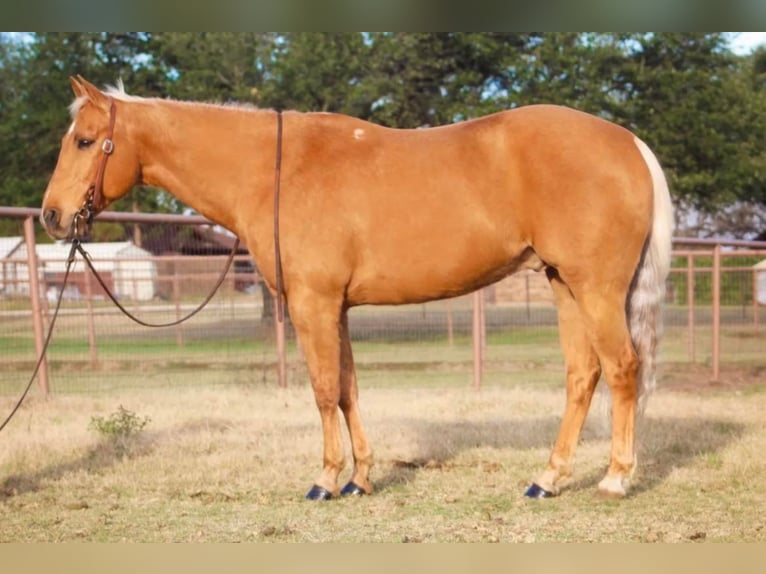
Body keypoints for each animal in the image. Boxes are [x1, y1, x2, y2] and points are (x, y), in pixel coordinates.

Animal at [40, 75, 672, 500]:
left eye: (84, 140)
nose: (51, 215)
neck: (274, 171)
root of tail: (629, 143)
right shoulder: (335, 307)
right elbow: (347, 388)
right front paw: (361, 479)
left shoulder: (313, 304)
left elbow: (323, 390)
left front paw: (325, 480)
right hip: (565, 285)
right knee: (582, 376)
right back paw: (548, 479)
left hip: (597, 289)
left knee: (622, 369)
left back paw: (615, 479)